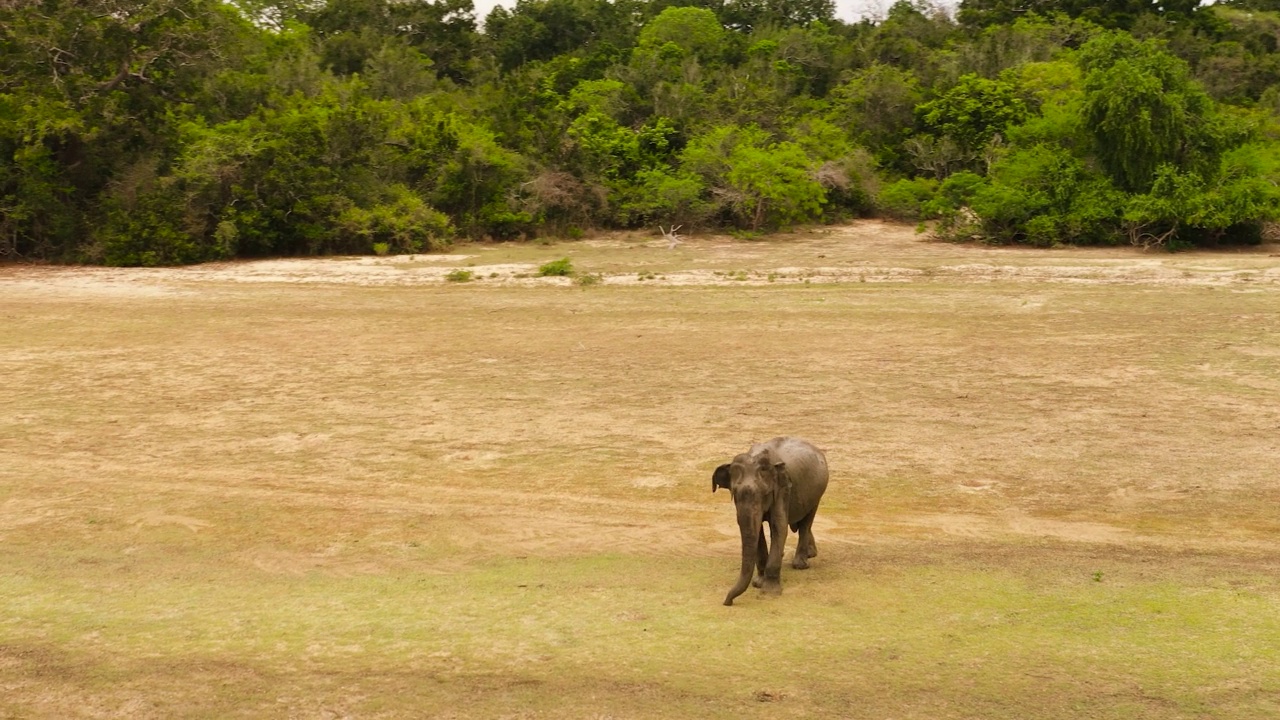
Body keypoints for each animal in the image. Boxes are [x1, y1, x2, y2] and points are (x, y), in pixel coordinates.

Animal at [711, 435, 829, 602]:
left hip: (818, 493)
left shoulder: (782, 489)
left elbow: (779, 526)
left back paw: (801, 564)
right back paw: (807, 554)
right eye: (735, 494)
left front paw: (769, 592)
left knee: (806, 522)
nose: (727, 601)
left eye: (765, 493)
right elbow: (758, 530)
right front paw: (758, 583)